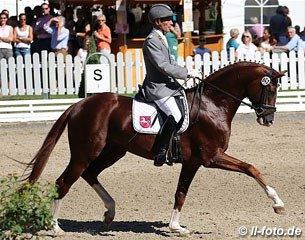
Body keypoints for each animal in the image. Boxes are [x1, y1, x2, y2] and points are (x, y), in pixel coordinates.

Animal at [26, 62, 284, 236]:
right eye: (270, 89)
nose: (269, 120)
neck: (212, 104)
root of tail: (79, 104)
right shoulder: (210, 157)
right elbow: (250, 168)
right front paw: (277, 202)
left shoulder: (193, 162)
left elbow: (181, 192)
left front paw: (176, 226)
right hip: (84, 153)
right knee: (64, 181)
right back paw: (55, 227)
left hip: (113, 151)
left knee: (90, 174)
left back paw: (110, 213)